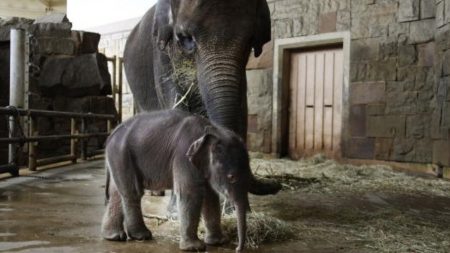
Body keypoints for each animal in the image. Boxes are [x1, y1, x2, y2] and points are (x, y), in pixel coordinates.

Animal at [102, 109, 268, 252]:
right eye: (231, 177)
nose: (237, 249)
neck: (212, 131)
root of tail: (112, 134)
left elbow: (210, 196)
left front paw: (218, 242)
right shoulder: (183, 156)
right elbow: (191, 193)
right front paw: (195, 248)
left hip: (118, 157)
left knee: (116, 193)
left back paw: (114, 237)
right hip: (122, 154)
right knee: (132, 192)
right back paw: (141, 236)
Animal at [123, 0, 278, 196]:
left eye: (250, 41)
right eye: (186, 39)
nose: (276, 186)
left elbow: (242, 105)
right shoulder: (161, 54)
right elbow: (175, 102)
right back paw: (156, 193)